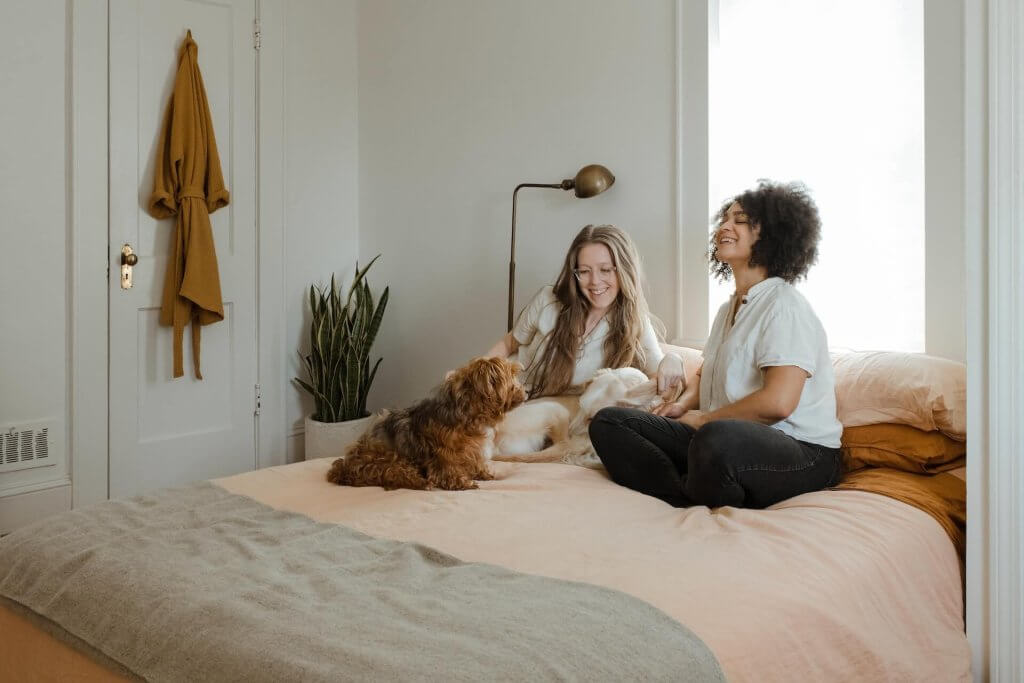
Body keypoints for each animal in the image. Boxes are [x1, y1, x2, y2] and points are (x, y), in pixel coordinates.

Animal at [325, 358, 528, 491]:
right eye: (511, 377)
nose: (527, 390)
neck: (468, 415)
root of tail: (344, 468)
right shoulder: (443, 453)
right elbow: (448, 468)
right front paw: (461, 482)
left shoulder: (473, 450)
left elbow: (476, 463)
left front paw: (484, 474)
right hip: (388, 460)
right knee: (397, 474)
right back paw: (422, 482)